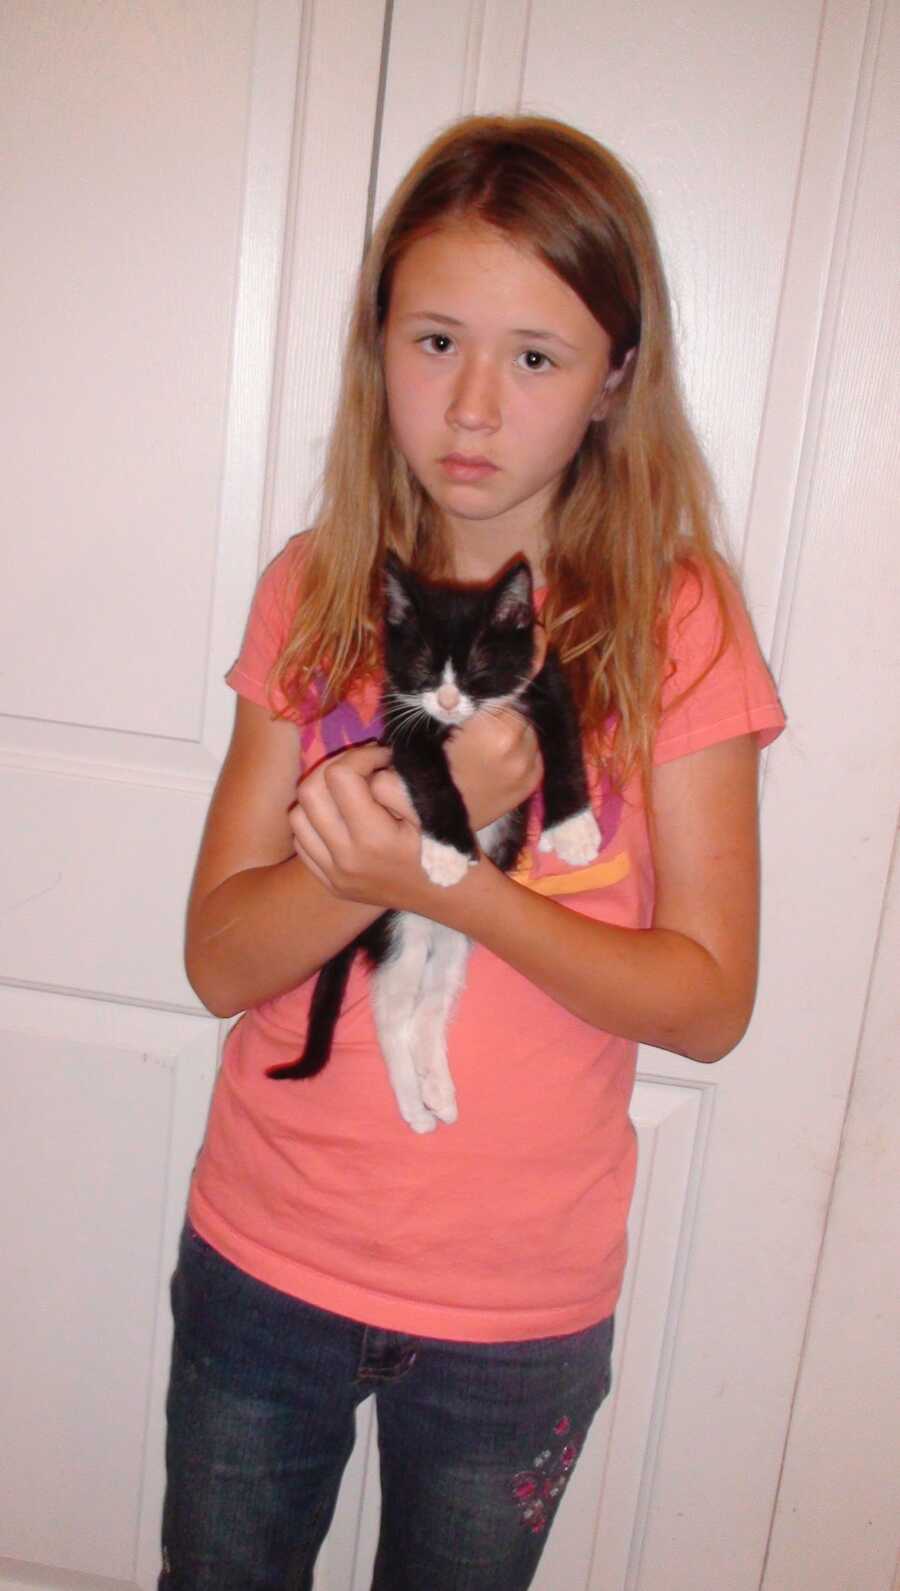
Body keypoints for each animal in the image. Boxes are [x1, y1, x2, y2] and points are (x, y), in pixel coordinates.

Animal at [271, 556, 604, 1132]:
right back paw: (415, 1108)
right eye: (425, 664)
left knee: (429, 1009)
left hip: (454, 937)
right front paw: (448, 849)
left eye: (476, 665)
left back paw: (439, 1093)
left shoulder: (547, 680)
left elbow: (565, 742)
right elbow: (428, 776)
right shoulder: (404, 721)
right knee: (391, 1015)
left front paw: (573, 827)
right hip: (398, 930)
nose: (448, 700)